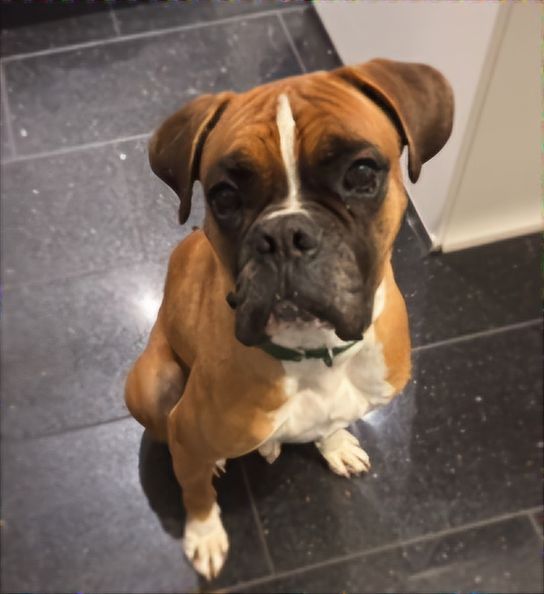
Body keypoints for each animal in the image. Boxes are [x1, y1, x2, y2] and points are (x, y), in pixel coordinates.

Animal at [125, 58, 454, 580]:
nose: (284, 234)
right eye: (224, 196)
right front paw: (204, 535)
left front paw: (335, 444)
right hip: (149, 381)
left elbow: (330, 424)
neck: (315, 353)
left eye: (362, 172)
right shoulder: (189, 436)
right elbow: (196, 493)